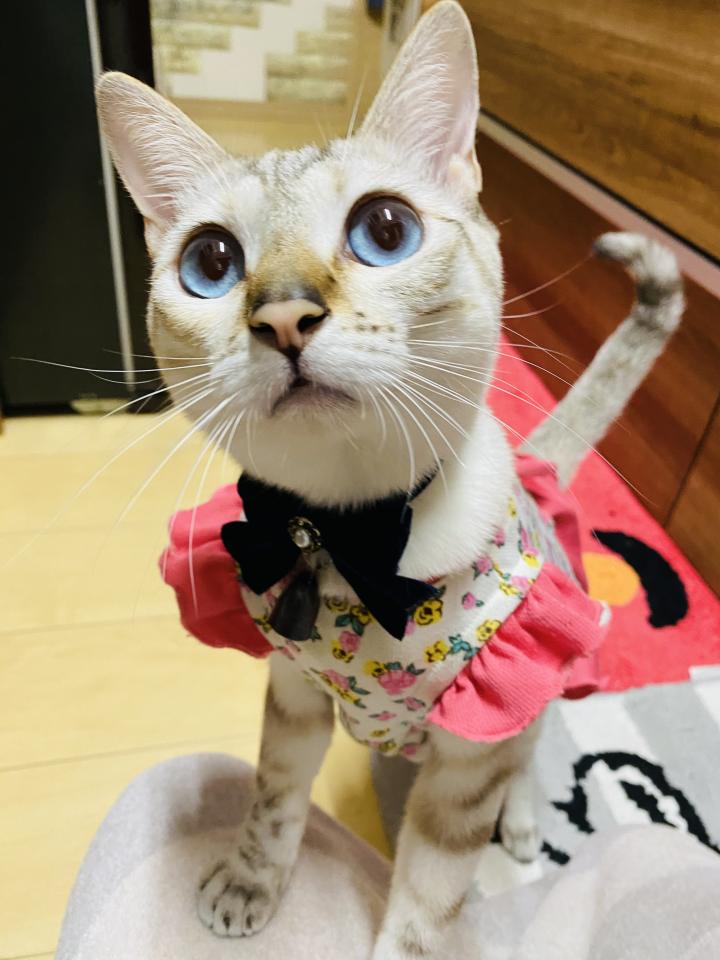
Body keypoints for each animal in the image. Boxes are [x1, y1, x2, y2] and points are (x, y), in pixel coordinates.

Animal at [96, 2, 684, 957]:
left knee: (535, 744)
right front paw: (249, 886)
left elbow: (423, 903)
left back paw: (526, 821)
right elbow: (272, 801)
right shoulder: (294, 690)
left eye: (384, 231)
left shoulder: (472, 755)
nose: (283, 315)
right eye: (211, 263)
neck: (346, 535)